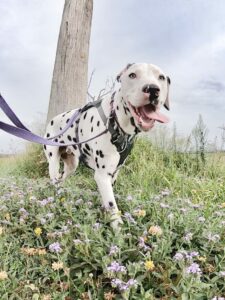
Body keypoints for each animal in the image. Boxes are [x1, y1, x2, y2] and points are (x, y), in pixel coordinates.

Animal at [44, 62, 171, 229]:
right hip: (53, 161)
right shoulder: (102, 175)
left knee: (62, 178)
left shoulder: (114, 173)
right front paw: (118, 231)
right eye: (132, 75)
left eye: (161, 77)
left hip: (72, 165)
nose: (152, 89)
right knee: (54, 179)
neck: (117, 122)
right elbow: (112, 207)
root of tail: (52, 120)